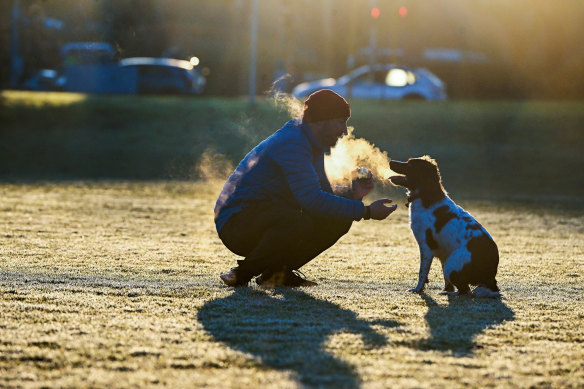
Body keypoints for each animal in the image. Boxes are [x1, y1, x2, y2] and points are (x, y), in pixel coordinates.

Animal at [390, 156, 500, 296]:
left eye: (410, 165)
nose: (390, 162)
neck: (425, 194)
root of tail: (491, 276)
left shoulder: (426, 247)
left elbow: (422, 273)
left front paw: (418, 289)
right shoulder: (443, 253)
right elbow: (446, 281)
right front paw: (446, 289)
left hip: (451, 264)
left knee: (465, 291)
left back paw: (448, 294)